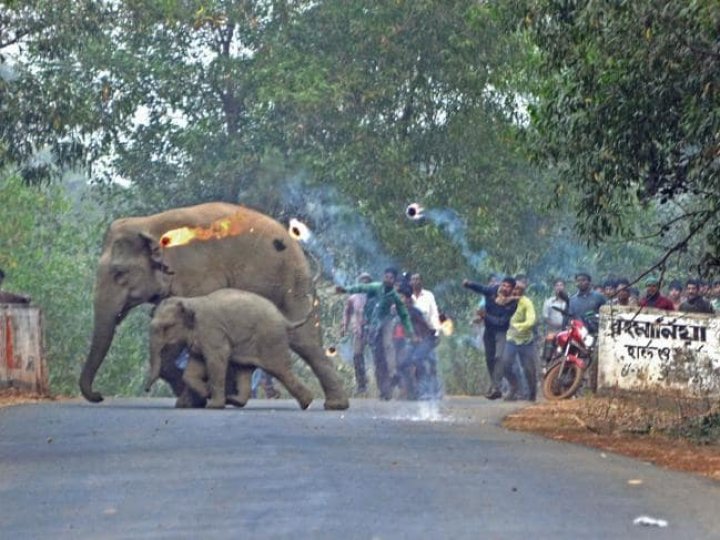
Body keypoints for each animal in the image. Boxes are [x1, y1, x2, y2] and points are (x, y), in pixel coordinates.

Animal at [147, 292, 316, 410]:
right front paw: (207, 392)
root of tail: (285, 320)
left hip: (270, 340)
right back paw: (233, 400)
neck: (190, 301)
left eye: (167, 327)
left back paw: (307, 403)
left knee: (280, 370)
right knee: (245, 370)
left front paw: (213, 405)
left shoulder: (212, 331)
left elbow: (216, 360)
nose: (146, 389)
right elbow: (193, 367)